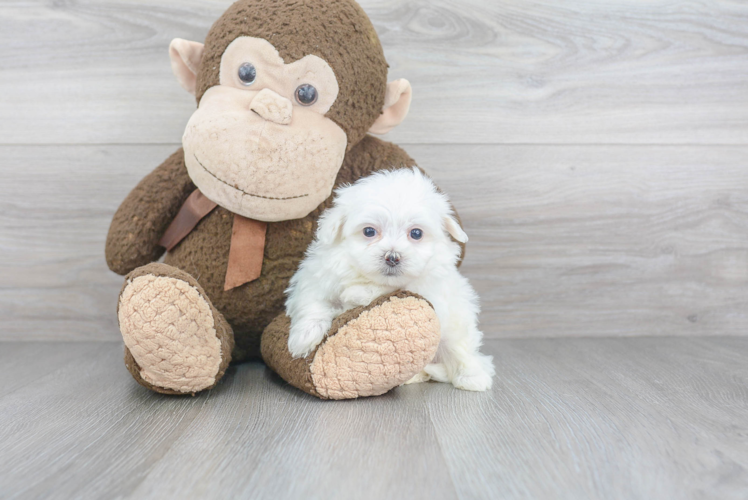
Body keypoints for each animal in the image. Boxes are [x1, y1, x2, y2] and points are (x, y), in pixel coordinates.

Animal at [284, 168, 494, 390]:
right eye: (369, 231)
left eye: (416, 233)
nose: (392, 257)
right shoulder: (316, 279)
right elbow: (313, 303)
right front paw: (303, 339)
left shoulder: (428, 289)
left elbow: (388, 289)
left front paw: (357, 293)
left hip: (457, 322)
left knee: (460, 349)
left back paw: (473, 377)